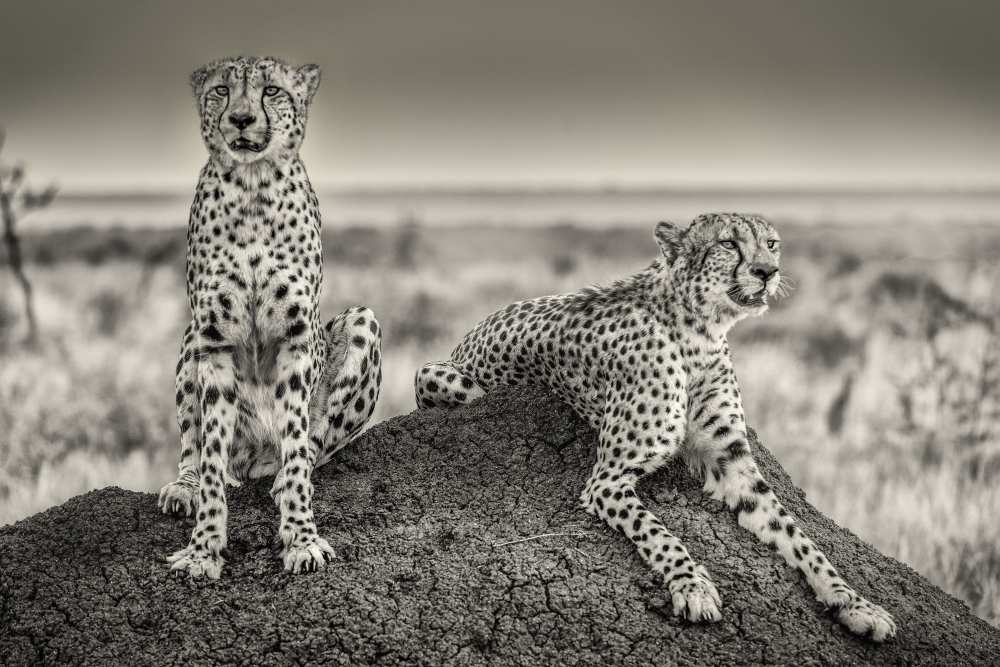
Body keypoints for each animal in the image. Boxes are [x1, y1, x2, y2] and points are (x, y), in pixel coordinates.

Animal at [158, 56, 380, 580]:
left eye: (272, 90)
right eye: (221, 90)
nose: (241, 119)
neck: (252, 188)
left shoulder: (298, 340)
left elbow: (298, 445)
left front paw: (302, 538)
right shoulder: (214, 340)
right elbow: (211, 456)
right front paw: (203, 549)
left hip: (363, 321)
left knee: (316, 443)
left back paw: (281, 477)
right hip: (189, 340)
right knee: (197, 447)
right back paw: (184, 486)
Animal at [414, 214, 900, 640]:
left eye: (772, 243)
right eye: (729, 243)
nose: (767, 271)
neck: (701, 332)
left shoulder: (737, 467)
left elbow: (799, 537)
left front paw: (855, 603)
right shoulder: (607, 480)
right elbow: (660, 533)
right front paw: (692, 585)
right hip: (436, 374)